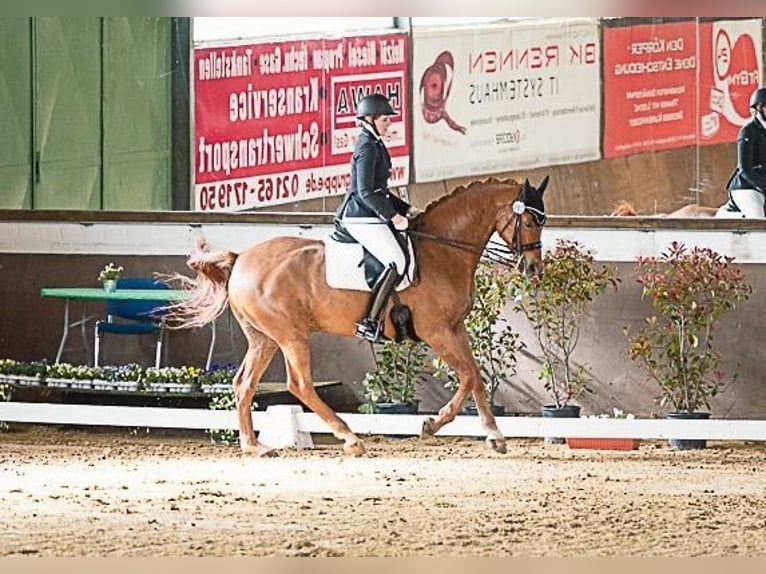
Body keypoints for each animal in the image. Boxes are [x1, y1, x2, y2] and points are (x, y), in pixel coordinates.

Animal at [171, 178, 548, 456]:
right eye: (529, 221)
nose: (532, 269)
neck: (441, 250)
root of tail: (241, 259)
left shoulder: (456, 329)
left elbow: (476, 376)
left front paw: (494, 434)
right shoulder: (437, 331)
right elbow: (468, 375)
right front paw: (432, 424)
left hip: (264, 338)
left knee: (244, 384)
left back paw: (254, 447)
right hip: (291, 335)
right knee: (299, 384)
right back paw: (350, 438)